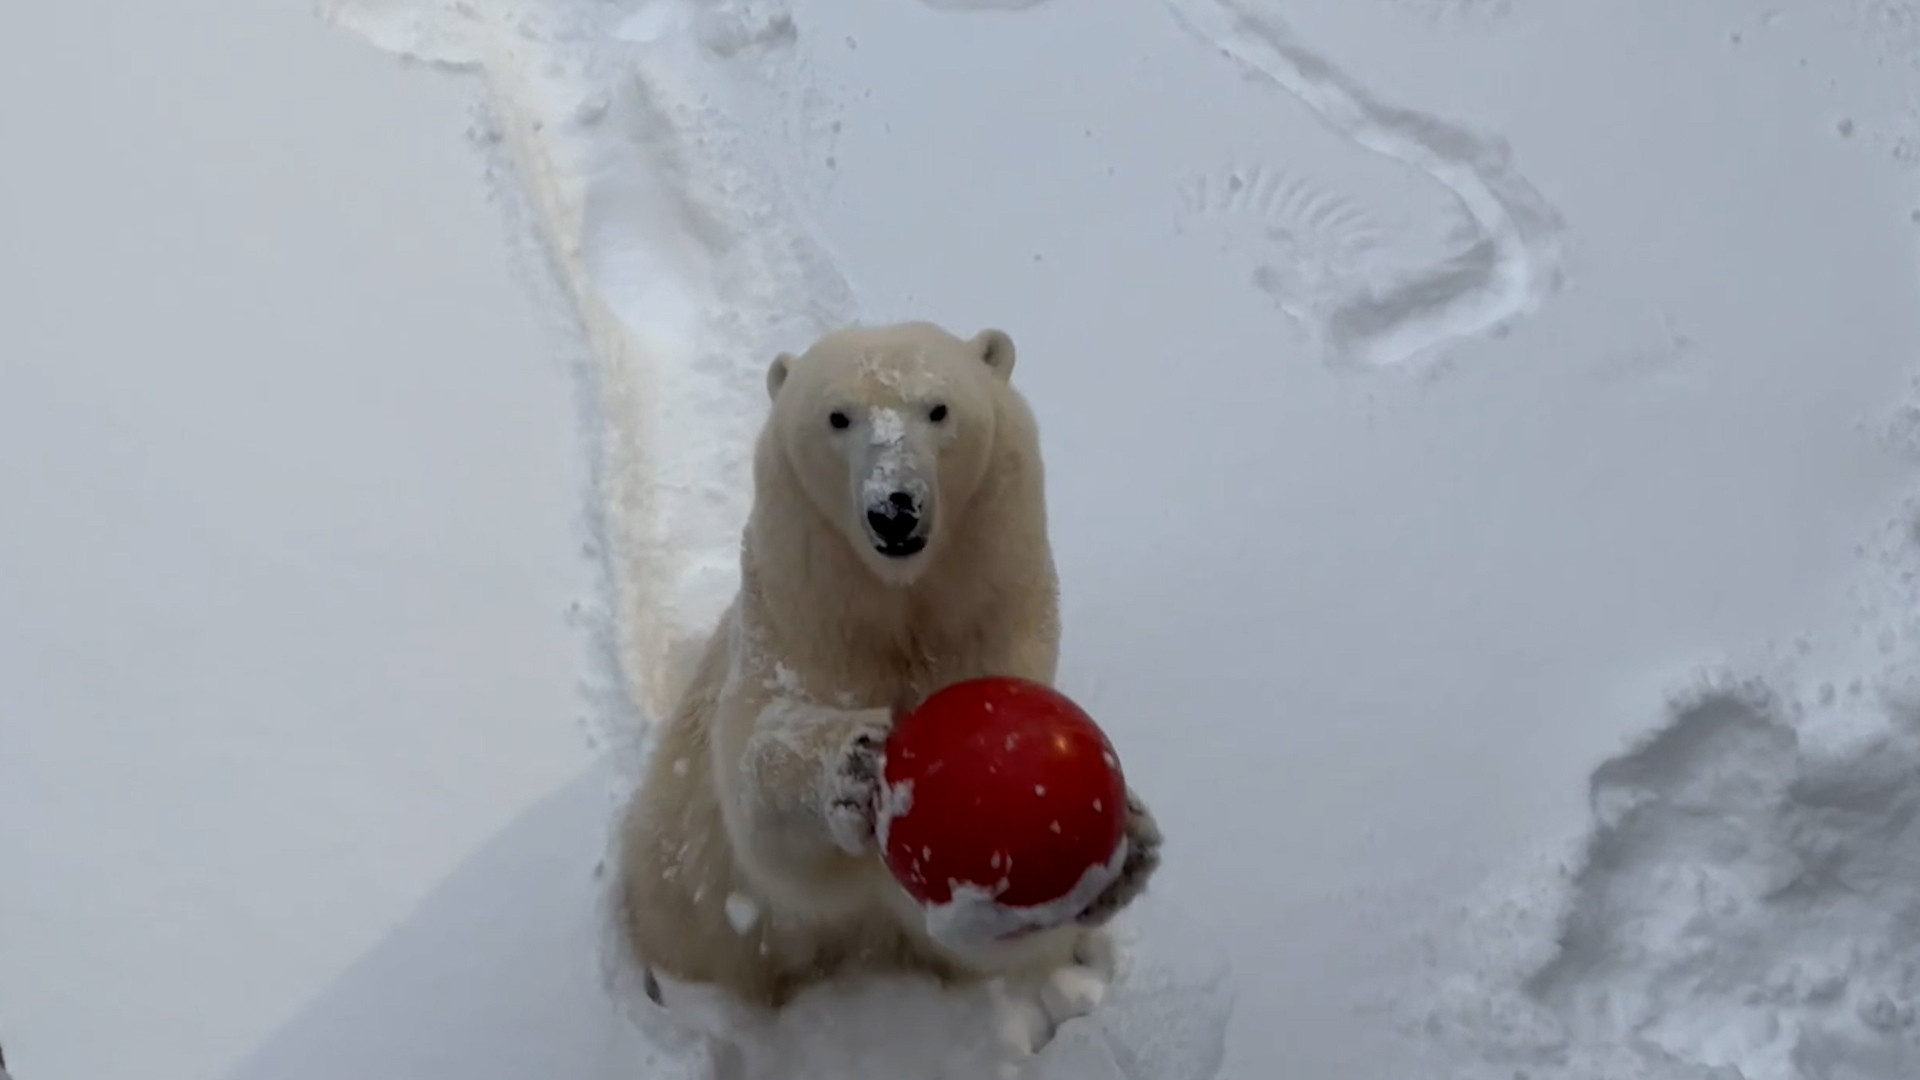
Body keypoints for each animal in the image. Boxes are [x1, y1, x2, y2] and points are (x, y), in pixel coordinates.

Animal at [614, 319, 1159, 1006]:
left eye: (939, 408)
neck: (899, 603)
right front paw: (853, 761)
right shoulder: (795, 615)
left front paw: (1124, 853)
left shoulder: (1000, 623)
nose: (894, 508)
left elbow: (962, 937)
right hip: (677, 882)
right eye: (838, 416)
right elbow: (758, 793)